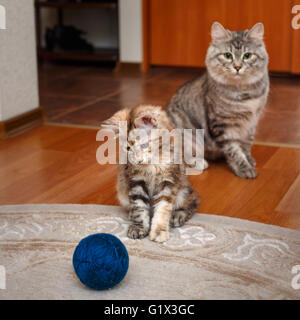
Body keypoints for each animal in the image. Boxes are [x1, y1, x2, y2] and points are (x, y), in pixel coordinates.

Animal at [102, 105, 198, 242]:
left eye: (144, 145)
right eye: (128, 148)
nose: (138, 160)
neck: (152, 165)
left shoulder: (167, 181)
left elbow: (162, 209)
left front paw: (159, 232)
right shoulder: (136, 182)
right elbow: (139, 208)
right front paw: (139, 228)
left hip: (184, 191)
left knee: (193, 201)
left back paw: (177, 215)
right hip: (122, 193)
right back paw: (131, 214)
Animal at [166, 21, 270, 179]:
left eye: (247, 55)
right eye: (227, 55)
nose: (237, 67)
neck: (244, 94)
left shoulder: (251, 123)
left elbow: (246, 145)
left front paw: (249, 159)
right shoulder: (223, 126)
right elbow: (234, 151)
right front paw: (244, 169)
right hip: (186, 134)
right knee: (180, 156)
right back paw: (200, 163)